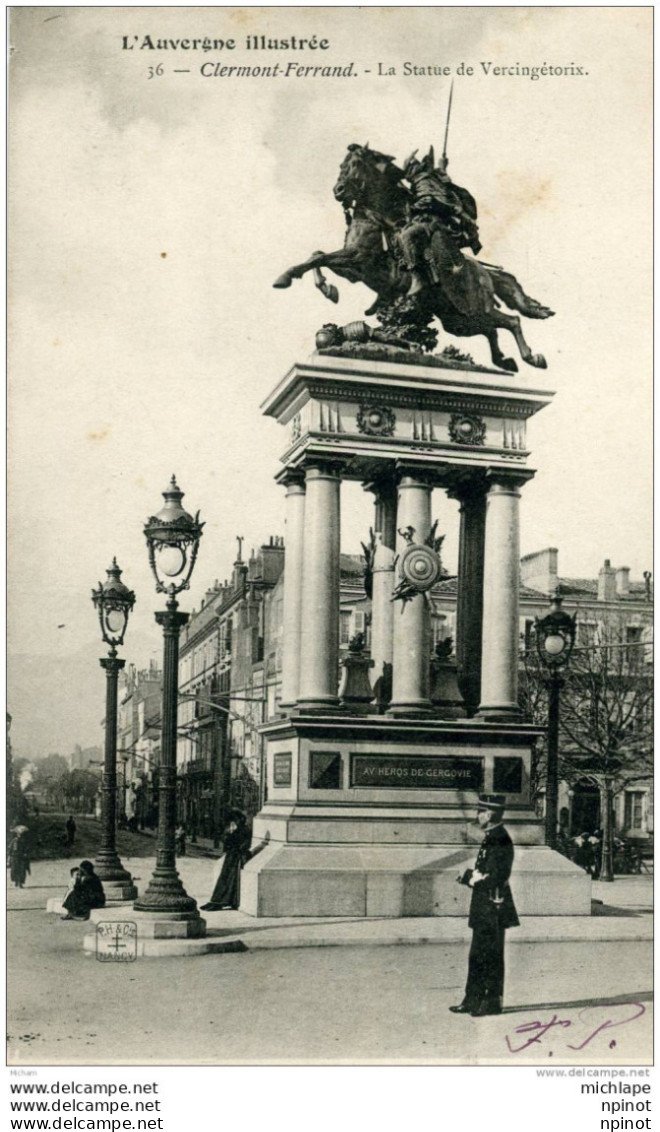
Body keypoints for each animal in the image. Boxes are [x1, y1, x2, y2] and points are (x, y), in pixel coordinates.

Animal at [272, 140, 552, 371]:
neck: (376, 217)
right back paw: (505, 361)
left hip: (472, 308)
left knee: (512, 321)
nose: (338, 190)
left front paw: (285, 278)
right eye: (342, 165)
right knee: (492, 331)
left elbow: (317, 258)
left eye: (355, 165)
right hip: (458, 321)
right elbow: (317, 255)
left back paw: (532, 358)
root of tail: (487, 272)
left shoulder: (359, 259)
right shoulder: (353, 269)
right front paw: (326, 288)